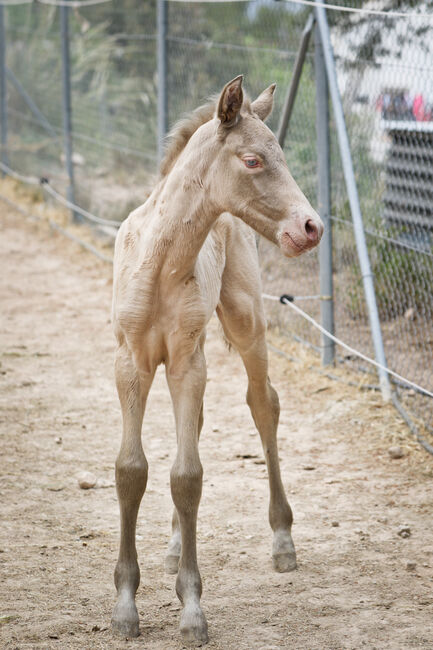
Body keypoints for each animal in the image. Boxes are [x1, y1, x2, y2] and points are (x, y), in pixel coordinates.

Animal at [109, 76, 322, 644]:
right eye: (252, 160)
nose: (310, 227)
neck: (160, 264)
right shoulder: (132, 362)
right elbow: (132, 470)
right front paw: (125, 608)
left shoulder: (187, 361)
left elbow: (187, 476)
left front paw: (191, 610)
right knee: (202, 422)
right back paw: (172, 546)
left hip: (244, 319)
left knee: (263, 403)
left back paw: (282, 541)